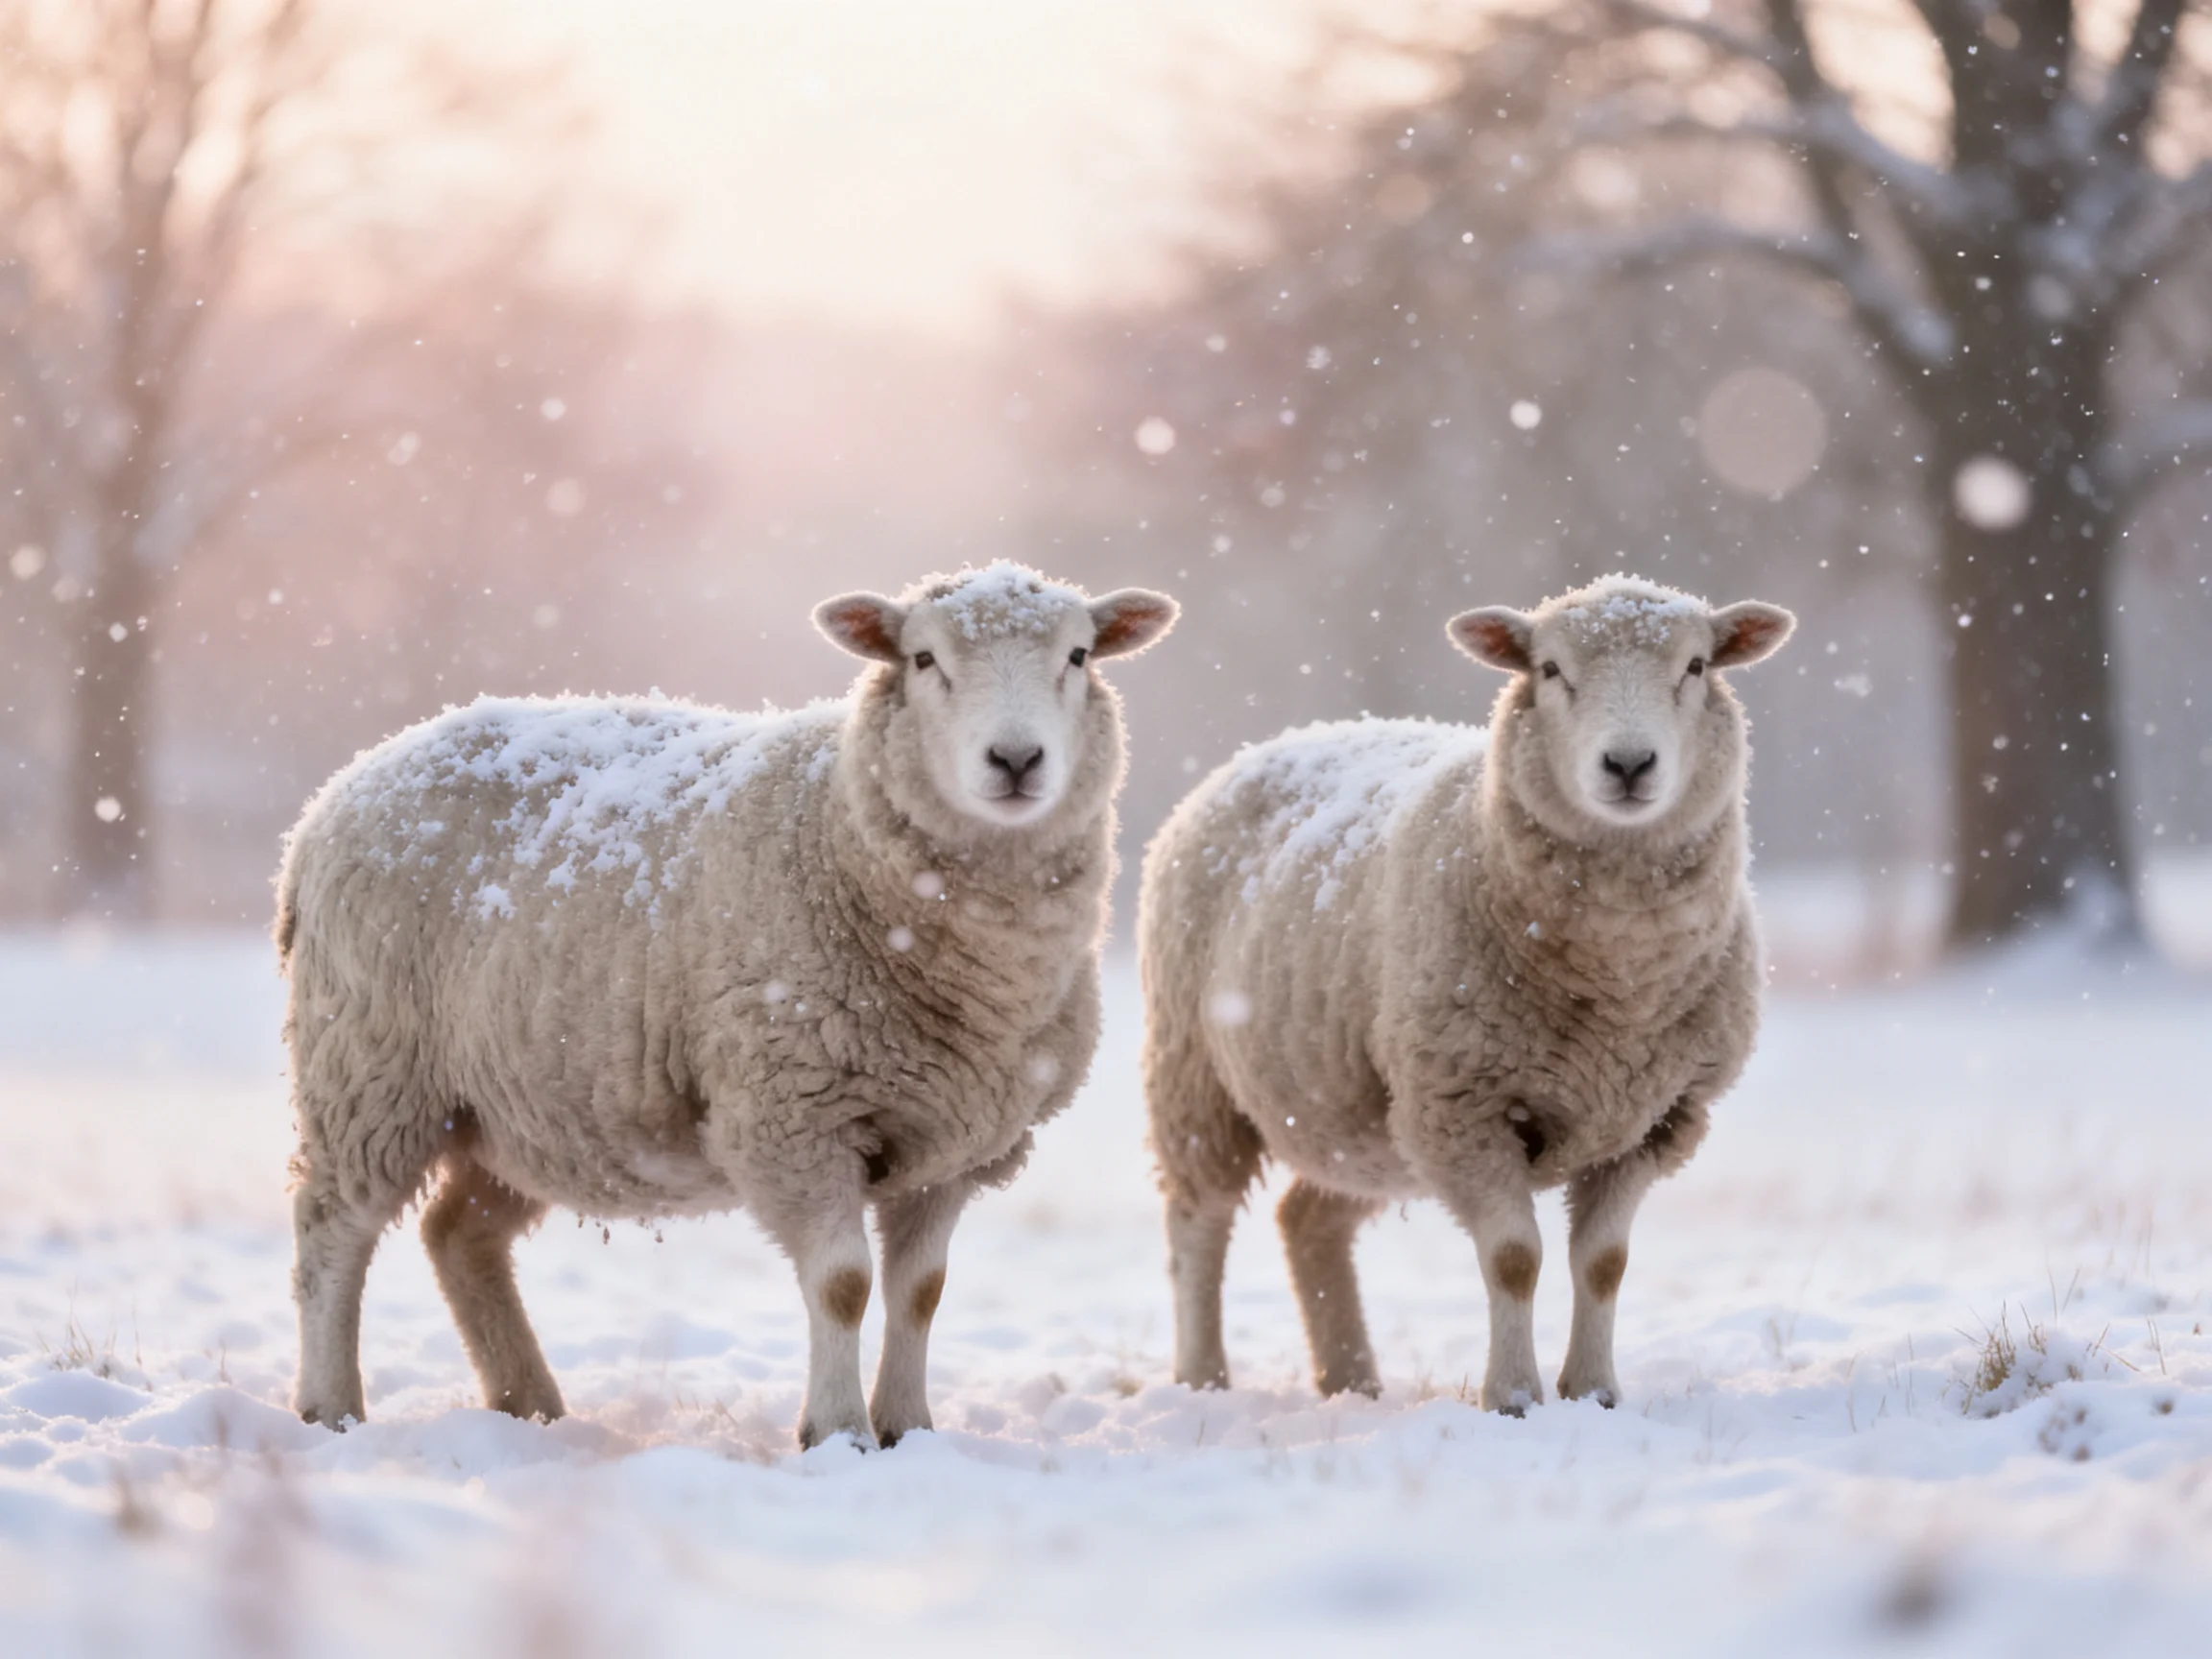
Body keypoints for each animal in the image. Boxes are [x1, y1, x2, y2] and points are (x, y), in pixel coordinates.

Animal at [277, 562, 1177, 1448]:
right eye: (923, 659)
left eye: (1079, 656)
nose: (1016, 759)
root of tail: (334, 796)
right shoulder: (794, 1116)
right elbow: (844, 1284)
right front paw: (839, 1433)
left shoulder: (952, 1142)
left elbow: (922, 1291)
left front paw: (909, 1428)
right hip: (370, 1069)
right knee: (332, 1231)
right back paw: (332, 1408)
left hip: (521, 1106)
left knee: (459, 1235)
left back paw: (529, 1404)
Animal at [1140, 574, 1793, 1412]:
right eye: (1549, 669)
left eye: (1697, 666)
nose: (1628, 764)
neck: (1616, 988)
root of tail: (1269, 747)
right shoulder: (1465, 1110)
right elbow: (1515, 1259)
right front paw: (1512, 1396)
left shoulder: (1655, 1120)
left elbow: (1603, 1264)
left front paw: (1594, 1391)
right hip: (1198, 1074)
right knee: (1198, 1222)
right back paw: (1201, 1378)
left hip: (1370, 1124)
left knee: (1307, 1219)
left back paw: (1352, 1381)